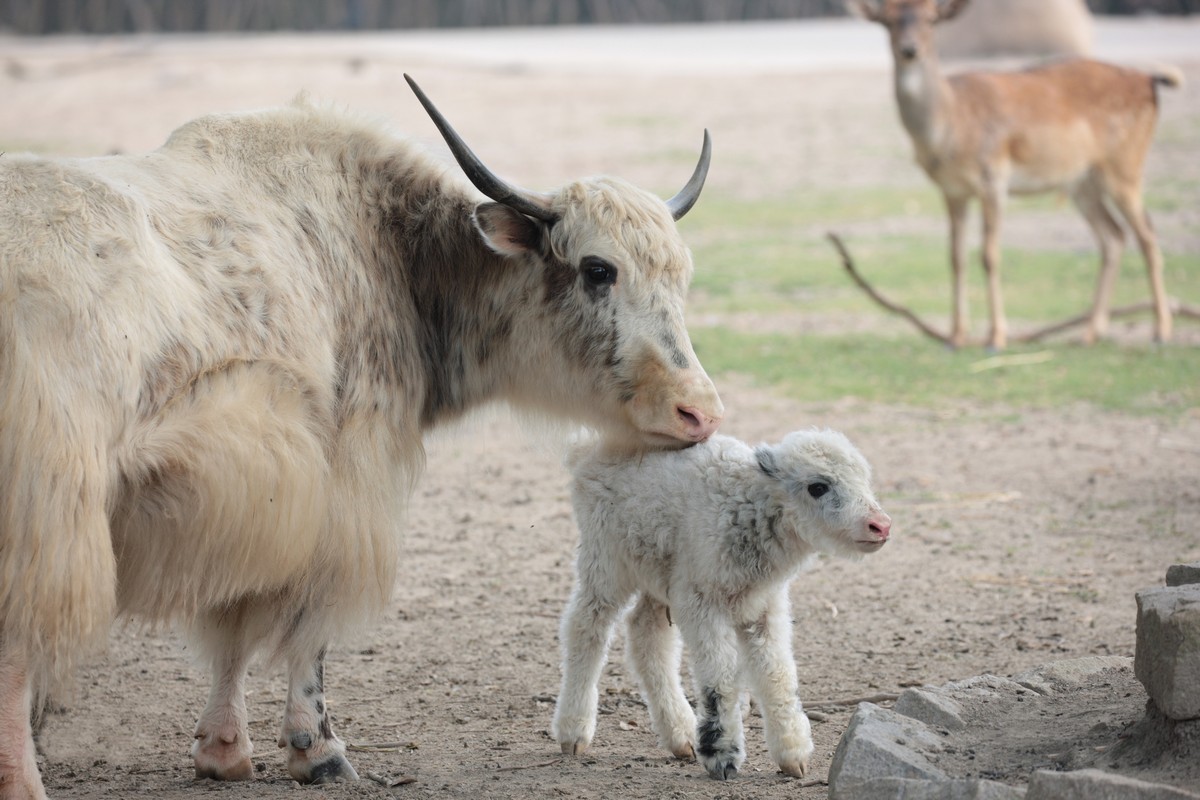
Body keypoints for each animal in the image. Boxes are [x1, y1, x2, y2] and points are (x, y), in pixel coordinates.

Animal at [0, 76, 720, 800]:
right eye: (599, 269)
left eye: (681, 276)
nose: (701, 412)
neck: (396, 252)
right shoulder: (341, 485)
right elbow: (308, 629)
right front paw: (318, 750)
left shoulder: (249, 502)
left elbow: (232, 626)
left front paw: (225, 750)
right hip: (46, 509)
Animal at [552, 431, 892, 782]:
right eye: (818, 487)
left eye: (864, 478)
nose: (881, 525)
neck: (748, 506)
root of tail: (589, 448)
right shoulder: (702, 602)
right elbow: (721, 676)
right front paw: (722, 756)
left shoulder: (764, 605)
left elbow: (778, 672)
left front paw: (793, 756)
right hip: (606, 558)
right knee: (586, 626)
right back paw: (573, 733)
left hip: (659, 571)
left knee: (646, 633)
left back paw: (681, 736)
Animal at [849, 0, 1185, 350]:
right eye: (887, 20)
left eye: (930, 19)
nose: (910, 49)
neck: (949, 128)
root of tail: (1148, 80)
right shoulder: (952, 190)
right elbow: (955, 257)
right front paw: (955, 337)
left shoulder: (994, 177)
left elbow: (989, 255)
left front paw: (996, 337)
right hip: (1083, 182)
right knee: (1114, 237)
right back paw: (1091, 332)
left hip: (1125, 164)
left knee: (1147, 234)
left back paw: (1161, 331)